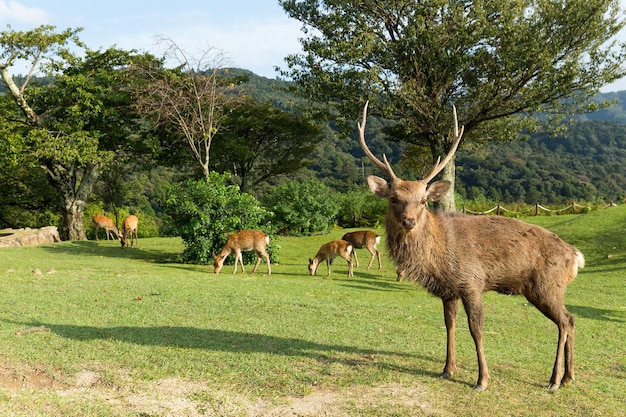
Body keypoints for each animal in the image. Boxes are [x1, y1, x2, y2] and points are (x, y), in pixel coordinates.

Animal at [358, 101, 584, 390]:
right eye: (394, 198)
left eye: (423, 201)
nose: (409, 221)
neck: (438, 258)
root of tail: (575, 257)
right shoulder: (448, 290)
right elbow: (449, 324)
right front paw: (447, 369)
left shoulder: (472, 282)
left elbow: (476, 328)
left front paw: (482, 379)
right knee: (571, 319)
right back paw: (568, 377)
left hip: (547, 286)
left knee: (565, 321)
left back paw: (554, 380)